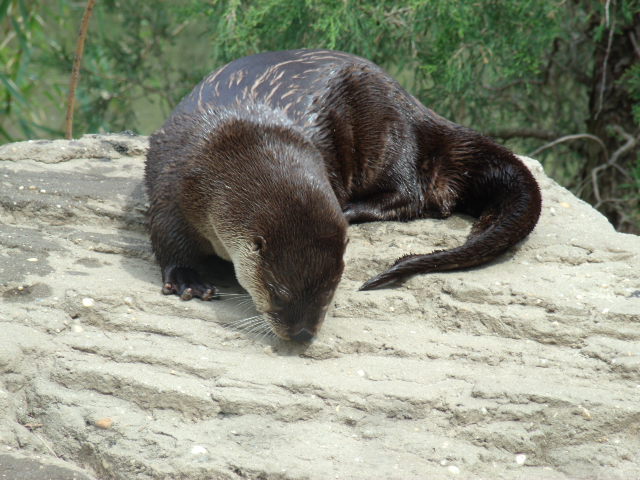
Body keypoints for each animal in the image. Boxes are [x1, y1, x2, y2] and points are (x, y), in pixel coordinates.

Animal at [145, 49, 541, 341]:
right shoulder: (168, 181)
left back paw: (352, 208)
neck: (239, 139)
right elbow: (167, 237)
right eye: (277, 291)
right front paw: (188, 280)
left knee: (412, 192)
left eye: (330, 291)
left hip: (388, 130)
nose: (302, 334)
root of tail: (416, 107)